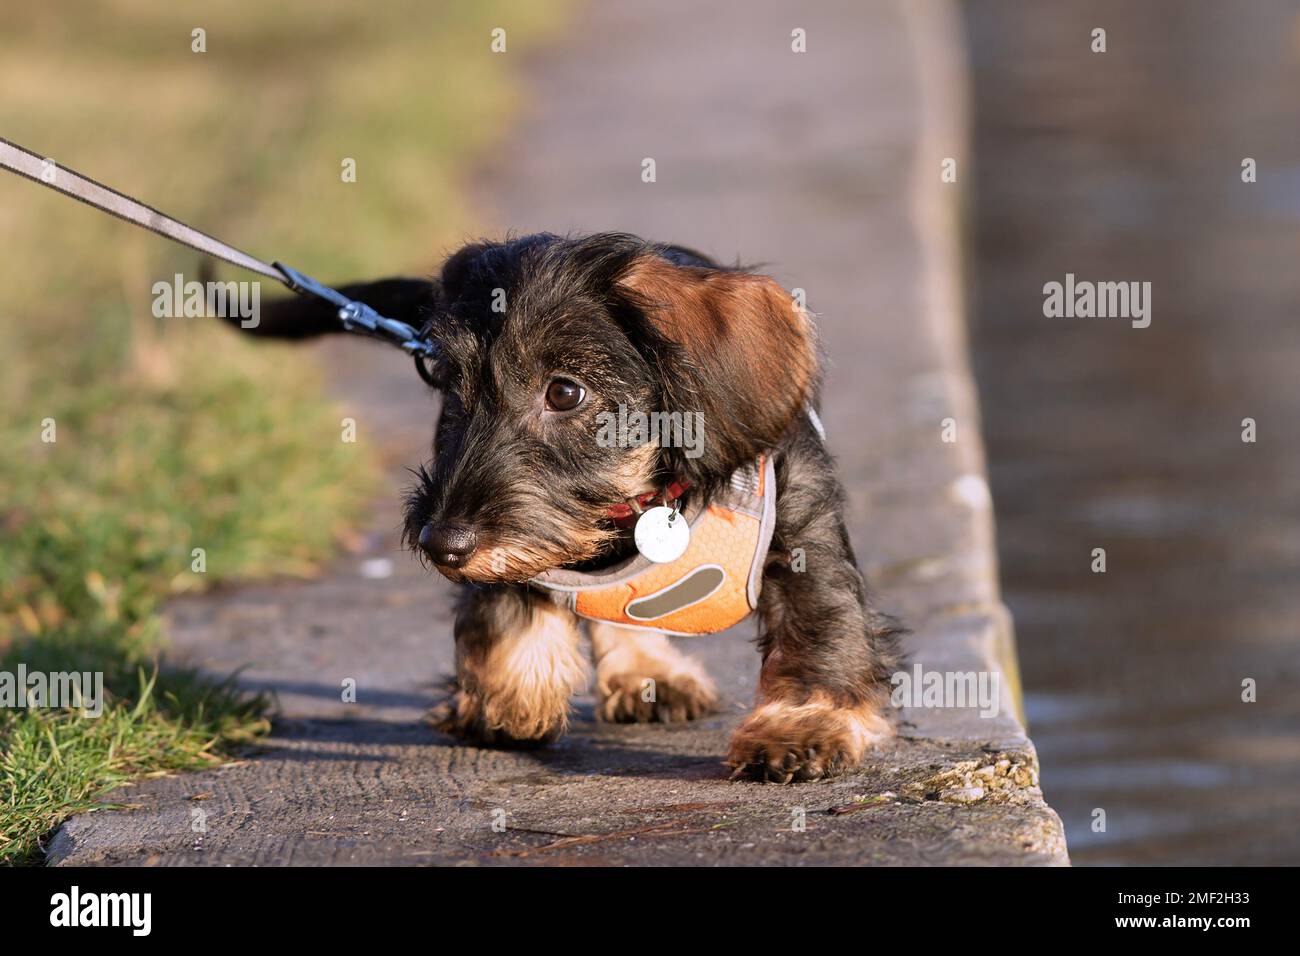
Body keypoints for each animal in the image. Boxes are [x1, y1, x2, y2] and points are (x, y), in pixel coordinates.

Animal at [248, 234, 909, 785]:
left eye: (565, 391)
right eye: (451, 389)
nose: (442, 544)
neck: (641, 499)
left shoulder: (803, 534)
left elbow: (819, 627)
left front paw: (800, 725)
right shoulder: (525, 540)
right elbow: (507, 607)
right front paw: (512, 694)